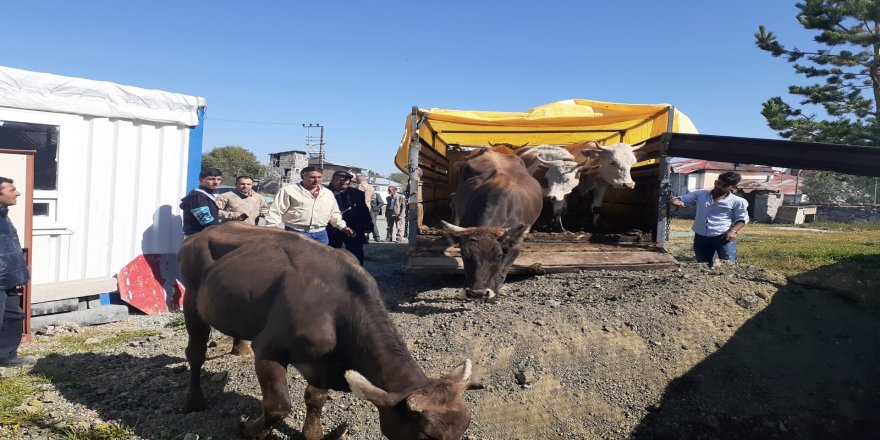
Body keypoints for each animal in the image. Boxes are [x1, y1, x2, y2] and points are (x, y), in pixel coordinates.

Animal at [179, 223, 482, 440]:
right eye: (425, 436)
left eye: (465, 427)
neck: (341, 307)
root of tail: (200, 233)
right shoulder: (268, 349)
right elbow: (278, 408)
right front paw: (248, 430)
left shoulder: (327, 361)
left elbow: (316, 398)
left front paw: (313, 433)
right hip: (191, 300)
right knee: (195, 353)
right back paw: (194, 401)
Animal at [446, 150, 544, 302]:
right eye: (464, 254)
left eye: (498, 255)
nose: (477, 293)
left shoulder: (515, 245)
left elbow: (502, 270)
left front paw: (493, 293)